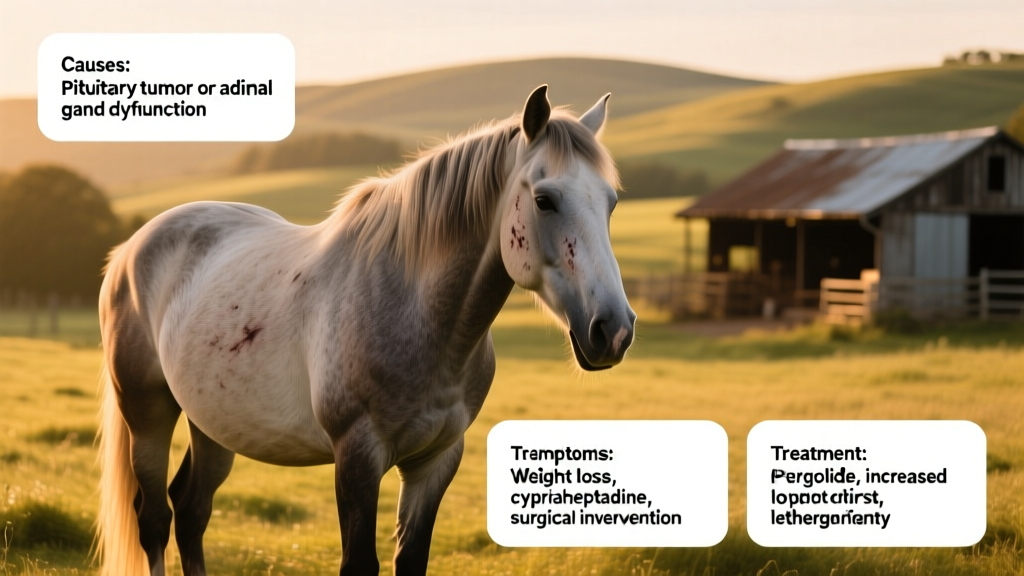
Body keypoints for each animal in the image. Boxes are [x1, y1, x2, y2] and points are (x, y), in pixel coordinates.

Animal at [96, 85, 636, 576]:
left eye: (611, 203)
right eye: (544, 200)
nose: (614, 330)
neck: (417, 314)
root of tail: (130, 248)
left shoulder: (437, 459)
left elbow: (410, 559)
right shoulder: (357, 457)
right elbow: (359, 562)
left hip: (213, 424)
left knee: (191, 511)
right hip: (147, 413)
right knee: (154, 519)